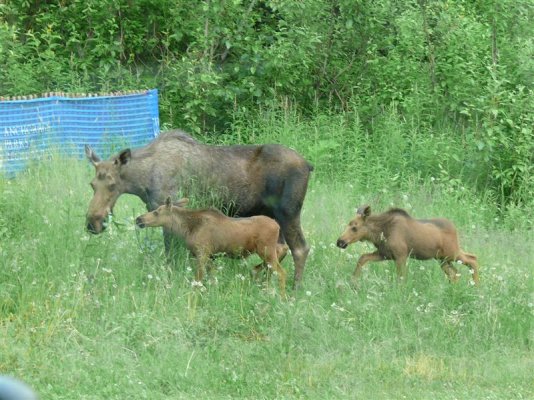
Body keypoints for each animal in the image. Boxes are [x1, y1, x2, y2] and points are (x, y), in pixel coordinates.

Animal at [86, 130, 316, 286]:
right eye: (92, 184)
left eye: (112, 184)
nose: (92, 222)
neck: (142, 182)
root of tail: (309, 165)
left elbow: (172, 255)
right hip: (273, 216)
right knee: (281, 249)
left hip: (288, 212)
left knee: (300, 248)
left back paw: (294, 288)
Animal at [137, 198, 288, 296]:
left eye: (156, 212)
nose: (139, 219)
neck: (186, 229)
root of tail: (277, 225)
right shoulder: (210, 256)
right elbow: (213, 279)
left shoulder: (202, 253)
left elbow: (198, 279)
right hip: (269, 250)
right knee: (280, 254)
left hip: (266, 250)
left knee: (281, 272)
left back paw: (281, 297)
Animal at [338, 206, 480, 284]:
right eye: (348, 225)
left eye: (355, 228)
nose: (340, 241)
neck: (380, 233)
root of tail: (455, 229)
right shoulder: (385, 254)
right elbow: (362, 258)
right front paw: (353, 282)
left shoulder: (401, 255)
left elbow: (401, 278)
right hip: (442, 259)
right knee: (454, 273)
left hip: (451, 253)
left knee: (473, 259)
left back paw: (476, 286)